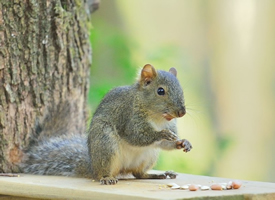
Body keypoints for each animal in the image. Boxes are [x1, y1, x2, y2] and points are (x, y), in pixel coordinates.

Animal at [21, 64, 193, 184]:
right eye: (160, 91)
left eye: (181, 90)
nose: (182, 112)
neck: (157, 118)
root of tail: (92, 165)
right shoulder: (128, 117)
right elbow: (136, 136)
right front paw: (161, 134)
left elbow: (166, 144)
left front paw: (183, 142)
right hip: (106, 144)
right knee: (102, 173)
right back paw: (106, 177)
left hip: (149, 155)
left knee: (138, 174)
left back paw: (155, 175)